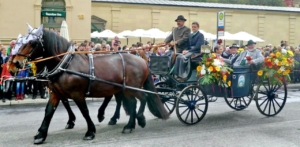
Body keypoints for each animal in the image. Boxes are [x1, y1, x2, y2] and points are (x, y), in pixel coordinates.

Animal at [9, 25, 169, 144]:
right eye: (19, 42)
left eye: (32, 42)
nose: (14, 64)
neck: (65, 64)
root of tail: (143, 60)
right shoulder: (56, 93)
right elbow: (48, 112)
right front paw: (41, 134)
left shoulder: (77, 94)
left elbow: (84, 111)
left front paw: (90, 131)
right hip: (124, 89)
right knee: (132, 102)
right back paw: (129, 124)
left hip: (132, 88)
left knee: (143, 98)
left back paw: (139, 119)